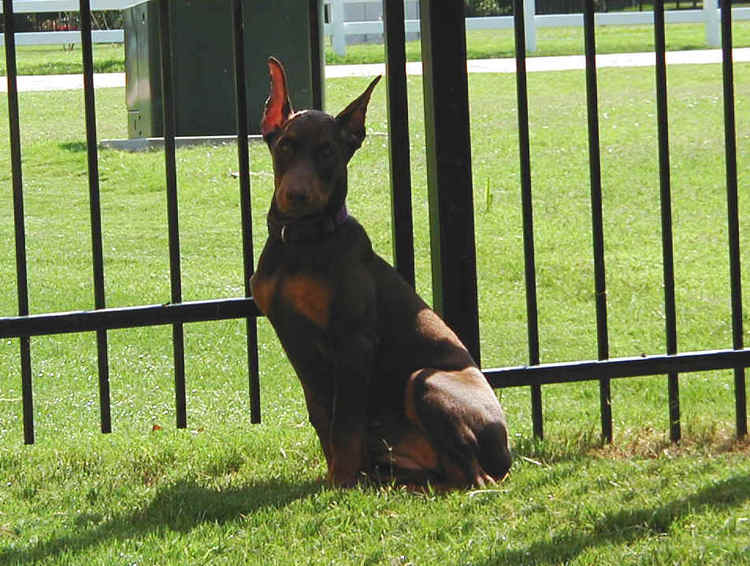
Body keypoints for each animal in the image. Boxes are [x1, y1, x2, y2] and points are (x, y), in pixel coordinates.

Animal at [251, 58, 512, 492]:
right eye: (286, 145)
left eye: (328, 152)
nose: (297, 196)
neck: (301, 242)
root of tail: (508, 453)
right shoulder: (294, 340)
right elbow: (321, 416)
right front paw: (337, 475)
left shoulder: (354, 341)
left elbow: (344, 422)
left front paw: (340, 482)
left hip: (425, 380)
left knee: (476, 477)